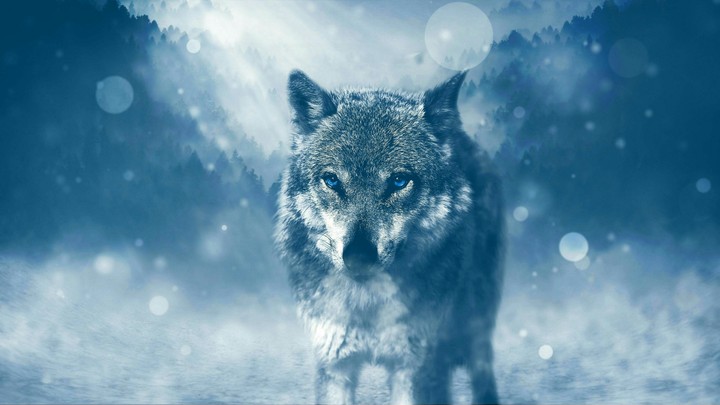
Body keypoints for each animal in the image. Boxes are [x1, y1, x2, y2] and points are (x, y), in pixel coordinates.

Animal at [274, 69, 504, 405]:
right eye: (332, 180)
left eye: (398, 181)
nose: (358, 256)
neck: (367, 304)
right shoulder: (335, 363)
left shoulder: (415, 367)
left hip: (475, 323)